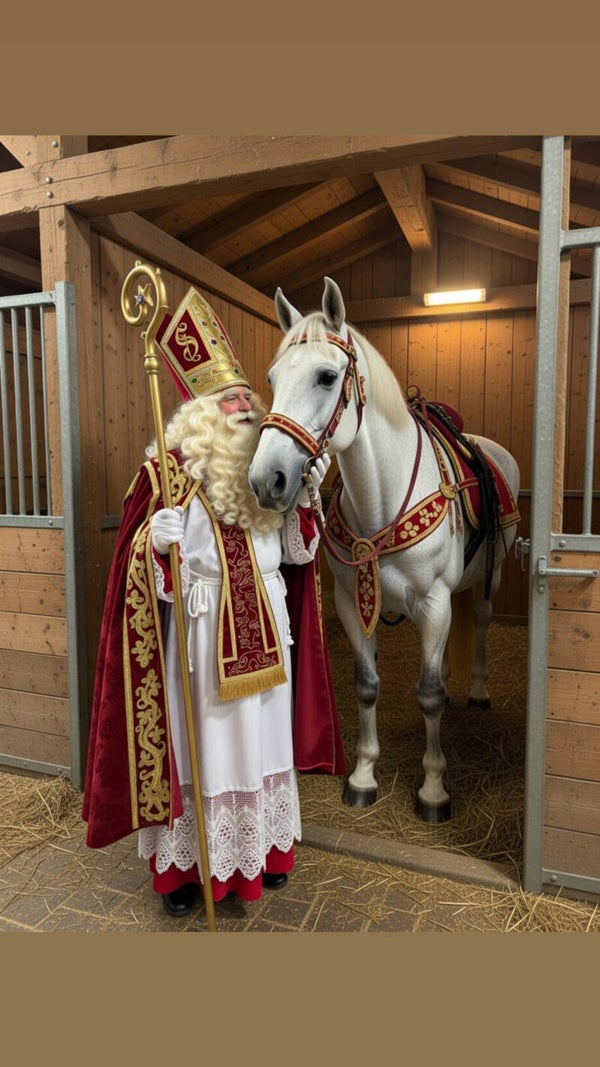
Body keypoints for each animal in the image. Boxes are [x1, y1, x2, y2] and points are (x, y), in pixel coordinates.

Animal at [249, 277, 520, 823]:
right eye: (272, 378)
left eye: (327, 376)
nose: (268, 479)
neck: (384, 500)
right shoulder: (354, 602)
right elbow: (367, 684)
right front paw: (362, 776)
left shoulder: (434, 603)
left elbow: (430, 694)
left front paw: (433, 789)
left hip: (492, 574)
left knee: (480, 622)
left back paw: (478, 690)